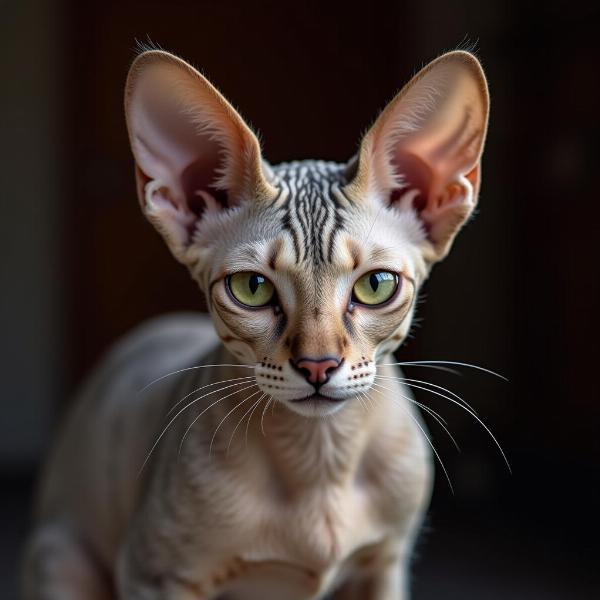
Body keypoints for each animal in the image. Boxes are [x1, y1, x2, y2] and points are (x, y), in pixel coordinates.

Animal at [23, 49, 490, 596]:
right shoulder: (153, 574)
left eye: (376, 285)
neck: (320, 459)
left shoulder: (386, 567)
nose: (317, 365)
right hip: (59, 556)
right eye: (253, 288)